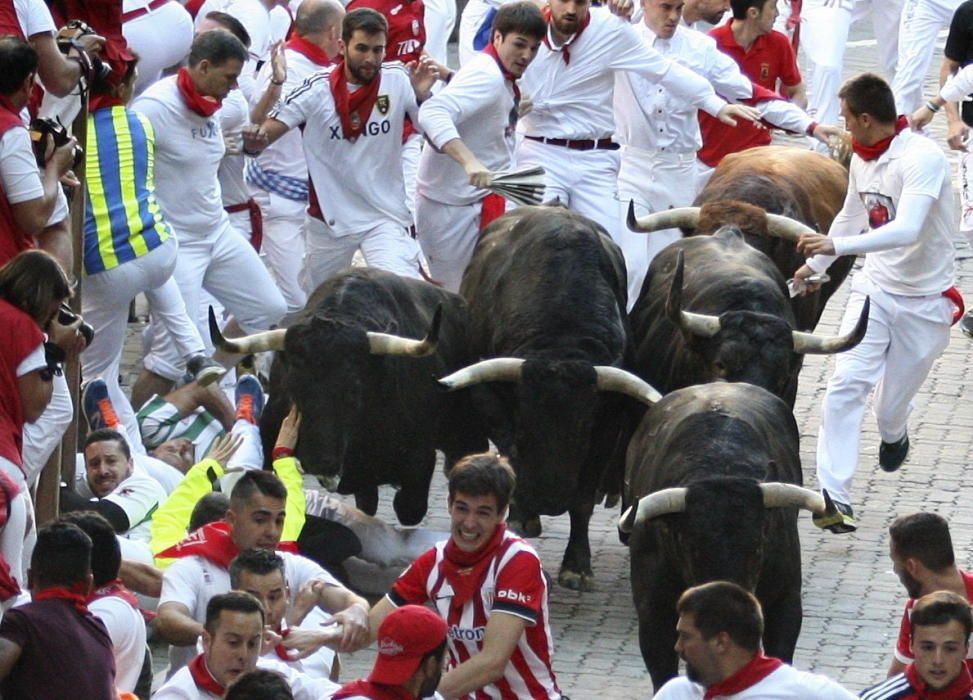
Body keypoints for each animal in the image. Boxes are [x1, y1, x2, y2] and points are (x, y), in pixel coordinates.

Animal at [211, 266, 486, 524]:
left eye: (354, 391)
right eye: (293, 388)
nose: (318, 461)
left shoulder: (420, 459)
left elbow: (408, 508)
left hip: (466, 435)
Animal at [440, 208, 660, 592]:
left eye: (584, 428)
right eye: (524, 422)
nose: (550, 499)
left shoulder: (609, 422)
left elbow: (584, 499)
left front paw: (577, 566)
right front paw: (520, 516)